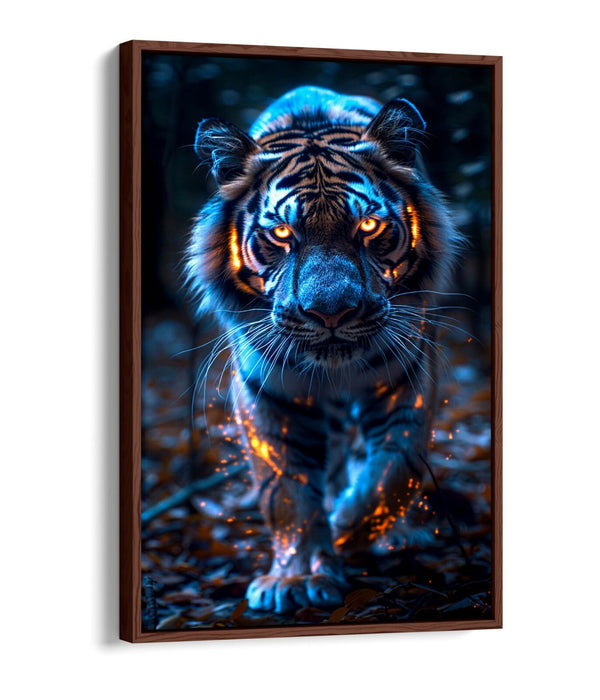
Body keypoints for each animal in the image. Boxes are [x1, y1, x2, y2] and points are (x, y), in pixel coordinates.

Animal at [186, 86, 462, 614]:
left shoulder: (408, 372)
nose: (331, 313)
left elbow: (395, 469)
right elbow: (286, 491)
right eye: (281, 234)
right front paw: (297, 578)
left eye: (370, 227)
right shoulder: (269, 391)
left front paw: (350, 526)